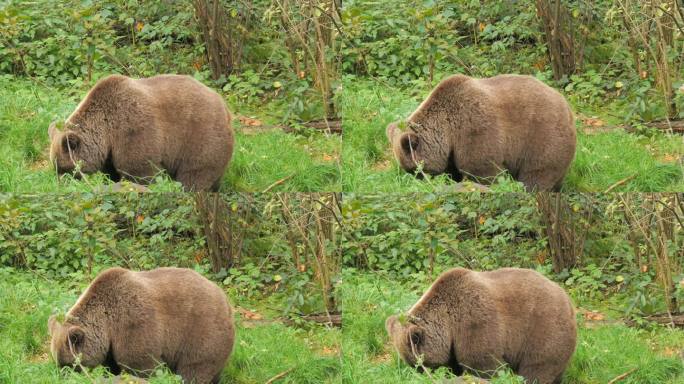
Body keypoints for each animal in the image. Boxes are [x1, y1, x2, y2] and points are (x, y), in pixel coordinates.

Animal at [48, 73, 235, 190]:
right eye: (56, 167)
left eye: (65, 168)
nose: (59, 185)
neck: (106, 131)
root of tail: (224, 106)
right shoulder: (110, 152)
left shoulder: (132, 129)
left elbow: (139, 170)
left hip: (200, 137)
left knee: (195, 175)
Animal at [48, 268, 235, 384]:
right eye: (58, 362)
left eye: (70, 364)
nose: (62, 376)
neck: (106, 323)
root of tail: (225, 299)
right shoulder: (111, 344)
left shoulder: (132, 323)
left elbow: (140, 363)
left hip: (201, 331)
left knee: (195, 369)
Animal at [388, 74, 576, 191]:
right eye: (410, 170)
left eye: (416, 170)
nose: (421, 183)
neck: (447, 131)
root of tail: (566, 105)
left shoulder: (473, 128)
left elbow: (482, 168)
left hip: (542, 136)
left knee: (538, 173)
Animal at [388, 268, 576, 384]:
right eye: (412, 365)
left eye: (421, 364)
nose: (422, 376)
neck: (448, 323)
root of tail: (567, 299)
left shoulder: (474, 322)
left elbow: (483, 363)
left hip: (542, 329)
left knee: (537, 368)